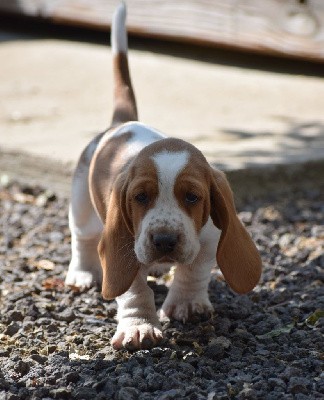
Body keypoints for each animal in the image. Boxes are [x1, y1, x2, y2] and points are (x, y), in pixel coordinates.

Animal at [65, 4, 260, 352]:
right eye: (141, 197)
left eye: (192, 197)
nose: (165, 241)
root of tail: (122, 122)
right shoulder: (124, 246)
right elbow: (133, 290)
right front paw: (139, 327)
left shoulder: (208, 239)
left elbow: (193, 272)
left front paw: (187, 305)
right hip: (82, 206)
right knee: (83, 239)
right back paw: (82, 274)